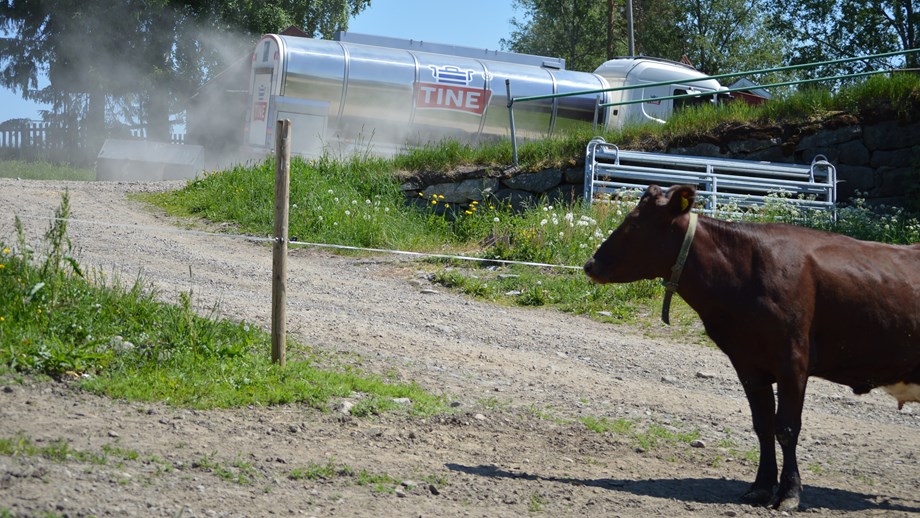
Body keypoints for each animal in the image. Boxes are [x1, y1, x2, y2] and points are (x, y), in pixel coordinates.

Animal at [584, 186, 920, 512]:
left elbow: (786, 428)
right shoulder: (747, 362)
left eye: (634, 224)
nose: (590, 265)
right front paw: (761, 486)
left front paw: (789, 493)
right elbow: (763, 425)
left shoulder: (793, 360)